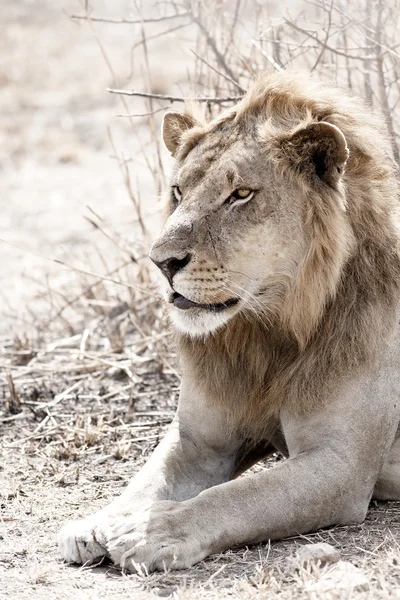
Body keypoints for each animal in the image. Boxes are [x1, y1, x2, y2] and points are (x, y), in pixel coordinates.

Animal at [57, 71, 400, 572]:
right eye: (178, 191)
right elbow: (146, 481)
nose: (162, 261)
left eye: (240, 195)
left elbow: (236, 498)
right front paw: (96, 522)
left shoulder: (341, 465)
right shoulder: (199, 443)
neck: (265, 332)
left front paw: (152, 530)